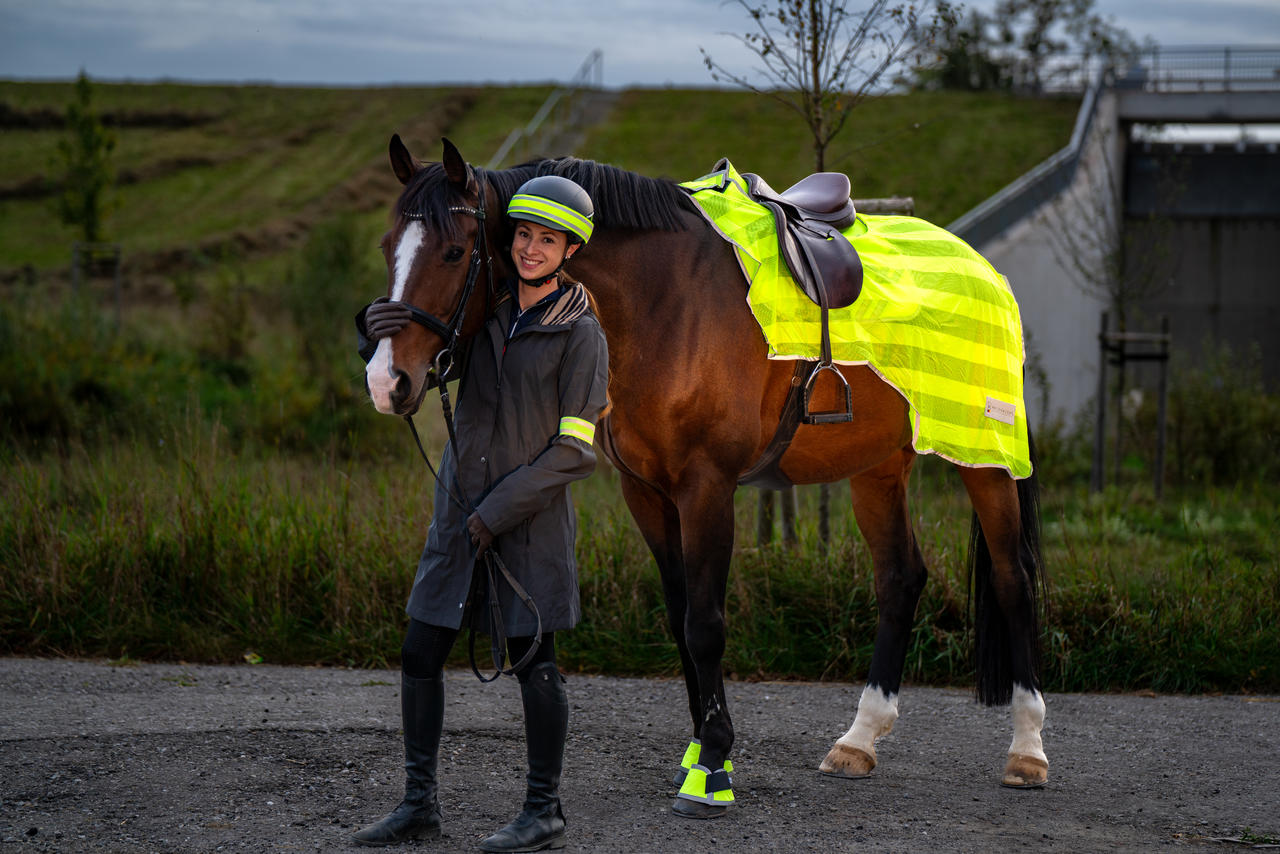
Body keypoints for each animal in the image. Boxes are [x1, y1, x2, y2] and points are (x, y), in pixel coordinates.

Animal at [363, 136, 1049, 819]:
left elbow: (706, 625)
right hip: (877, 467)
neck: (662, 302)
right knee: (900, 579)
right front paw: (699, 748)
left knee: (1012, 580)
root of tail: (986, 269)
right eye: (388, 245)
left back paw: (1027, 749)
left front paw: (714, 762)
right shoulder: (646, 492)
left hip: (985, 459)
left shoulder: (707, 488)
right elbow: (680, 617)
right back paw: (859, 739)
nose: (386, 380)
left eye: (455, 251)